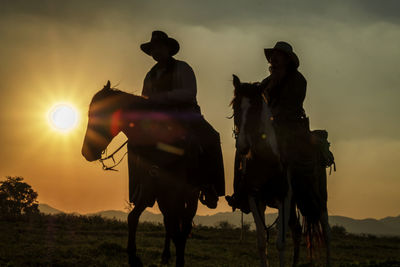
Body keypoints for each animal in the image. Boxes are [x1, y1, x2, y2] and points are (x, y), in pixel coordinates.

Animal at [83, 81, 203, 267]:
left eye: (99, 114)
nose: (86, 152)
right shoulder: (149, 190)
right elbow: (133, 218)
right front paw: (133, 256)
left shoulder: (173, 192)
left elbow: (179, 231)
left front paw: (179, 261)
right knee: (170, 222)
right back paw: (165, 255)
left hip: (189, 197)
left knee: (182, 225)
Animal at [231, 75, 332, 267]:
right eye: (235, 106)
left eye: (256, 108)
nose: (243, 146)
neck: (266, 160)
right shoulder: (255, 198)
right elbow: (261, 242)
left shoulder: (283, 198)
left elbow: (280, 244)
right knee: (297, 230)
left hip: (318, 197)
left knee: (326, 229)